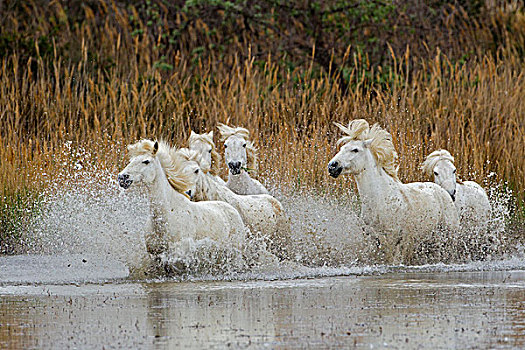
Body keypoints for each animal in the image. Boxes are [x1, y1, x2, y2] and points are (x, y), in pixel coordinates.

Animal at [328, 119, 458, 262]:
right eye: (341, 148)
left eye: (355, 150)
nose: (332, 166)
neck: (380, 199)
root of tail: (444, 191)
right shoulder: (374, 241)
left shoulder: (394, 241)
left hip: (447, 238)